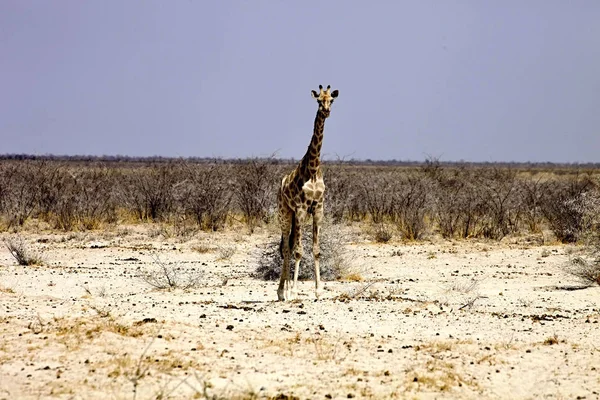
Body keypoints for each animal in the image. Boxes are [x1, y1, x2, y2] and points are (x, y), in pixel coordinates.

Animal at [276, 83, 338, 300]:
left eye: (331, 100)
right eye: (318, 100)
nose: (326, 111)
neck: (312, 170)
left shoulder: (318, 208)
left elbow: (316, 250)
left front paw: (319, 291)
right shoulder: (302, 208)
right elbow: (298, 251)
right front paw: (294, 290)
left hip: (295, 216)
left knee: (288, 245)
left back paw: (284, 290)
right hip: (285, 213)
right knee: (287, 248)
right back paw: (282, 292)